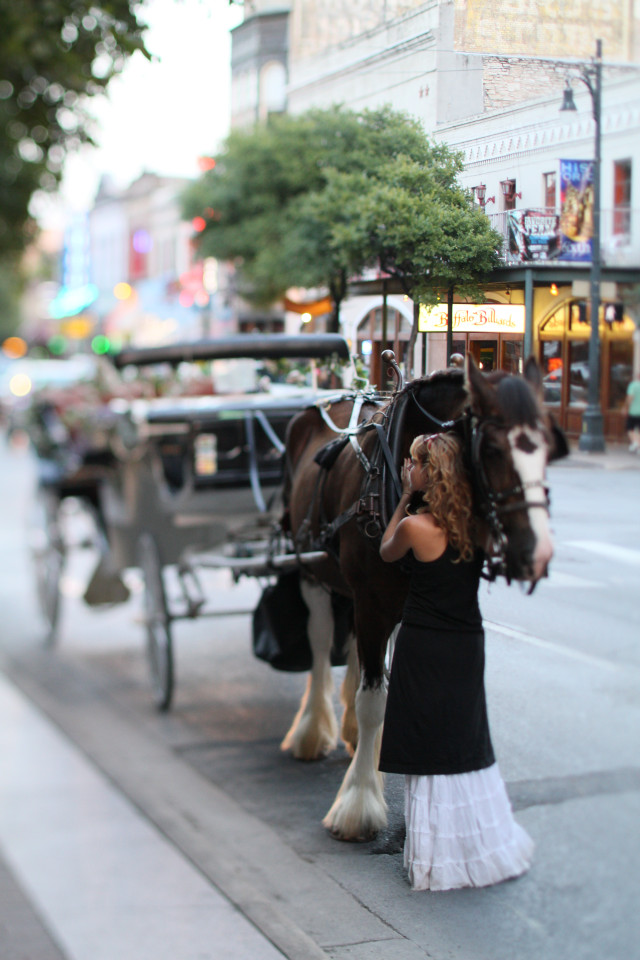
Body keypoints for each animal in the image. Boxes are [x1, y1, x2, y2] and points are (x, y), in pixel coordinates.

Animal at [280, 354, 564, 840]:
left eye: (547, 447)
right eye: (492, 450)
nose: (538, 554)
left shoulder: (394, 605)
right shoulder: (373, 602)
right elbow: (373, 701)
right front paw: (359, 803)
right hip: (311, 568)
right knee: (319, 644)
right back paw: (313, 730)